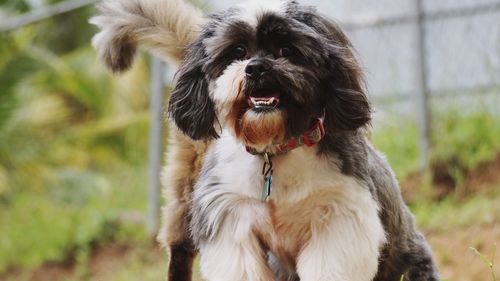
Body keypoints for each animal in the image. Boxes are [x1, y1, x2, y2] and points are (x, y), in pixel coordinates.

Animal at [92, 0, 440, 280]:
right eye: (237, 52)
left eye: (287, 50)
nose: (256, 68)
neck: (275, 149)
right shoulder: (231, 222)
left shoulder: (338, 219)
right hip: (183, 203)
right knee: (179, 253)